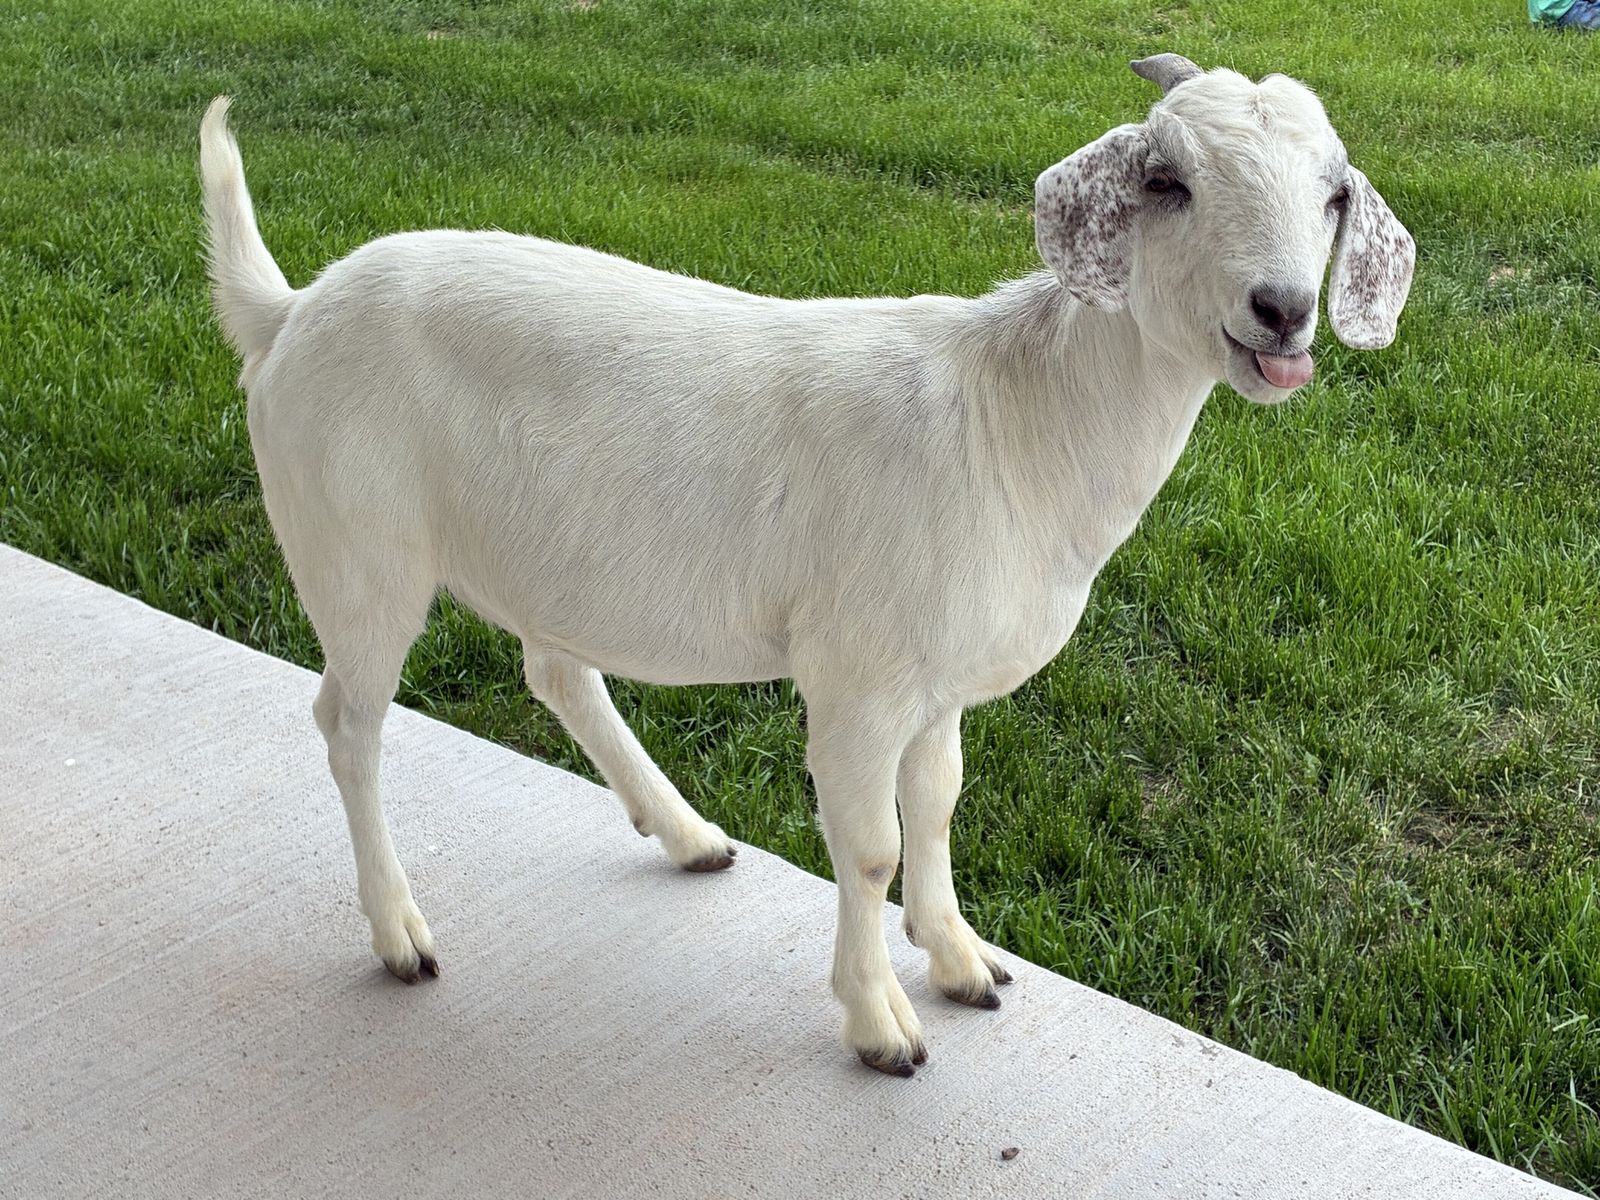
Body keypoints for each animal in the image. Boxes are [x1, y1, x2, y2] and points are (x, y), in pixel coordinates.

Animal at [200, 53, 1414, 1076]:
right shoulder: (858, 677)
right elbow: (870, 850)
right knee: (350, 725)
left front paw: (963, 963)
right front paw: (881, 1028)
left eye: (1333, 195)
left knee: (557, 673)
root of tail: (289, 313)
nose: (1282, 312)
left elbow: (938, 807)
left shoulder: (935, 685)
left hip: (536, 559)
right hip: (357, 547)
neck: (1013, 418)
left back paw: (688, 835)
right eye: (1166, 181)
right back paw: (401, 934)